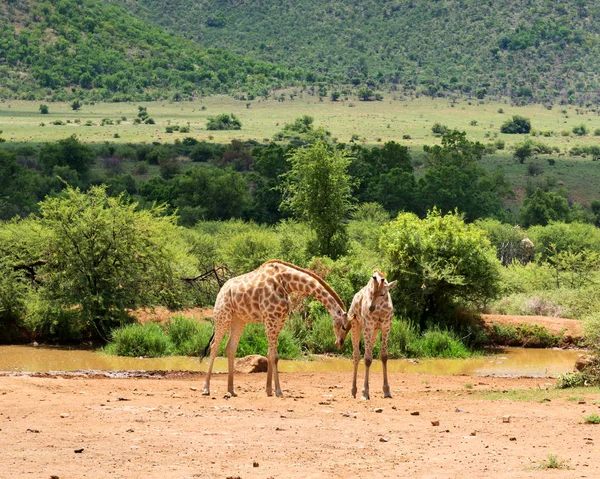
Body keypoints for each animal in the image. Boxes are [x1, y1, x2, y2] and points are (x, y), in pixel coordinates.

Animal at [204, 260, 350, 400]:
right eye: (343, 326)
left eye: (349, 327)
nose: (339, 343)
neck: (286, 283)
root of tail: (221, 290)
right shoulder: (271, 318)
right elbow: (274, 356)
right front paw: (279, 391)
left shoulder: (279, 320)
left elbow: (270, 354)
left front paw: (269, 390)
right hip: (223, 315)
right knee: (214, 345)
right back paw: (206, 389)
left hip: (239, 320)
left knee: (230, 347)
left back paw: (231, 390)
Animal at [336, 270, 396, 402]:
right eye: (371, 292)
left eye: (383, 293)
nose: (371, 308)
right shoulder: (368, 326)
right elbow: (367, 359)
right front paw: (364, 392)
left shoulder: (386, 327)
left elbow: (384, 356)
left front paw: (387, 391)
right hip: (356, 326)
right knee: (357, 356)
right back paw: (353, 391)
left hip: (374, 332)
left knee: (366, 353)